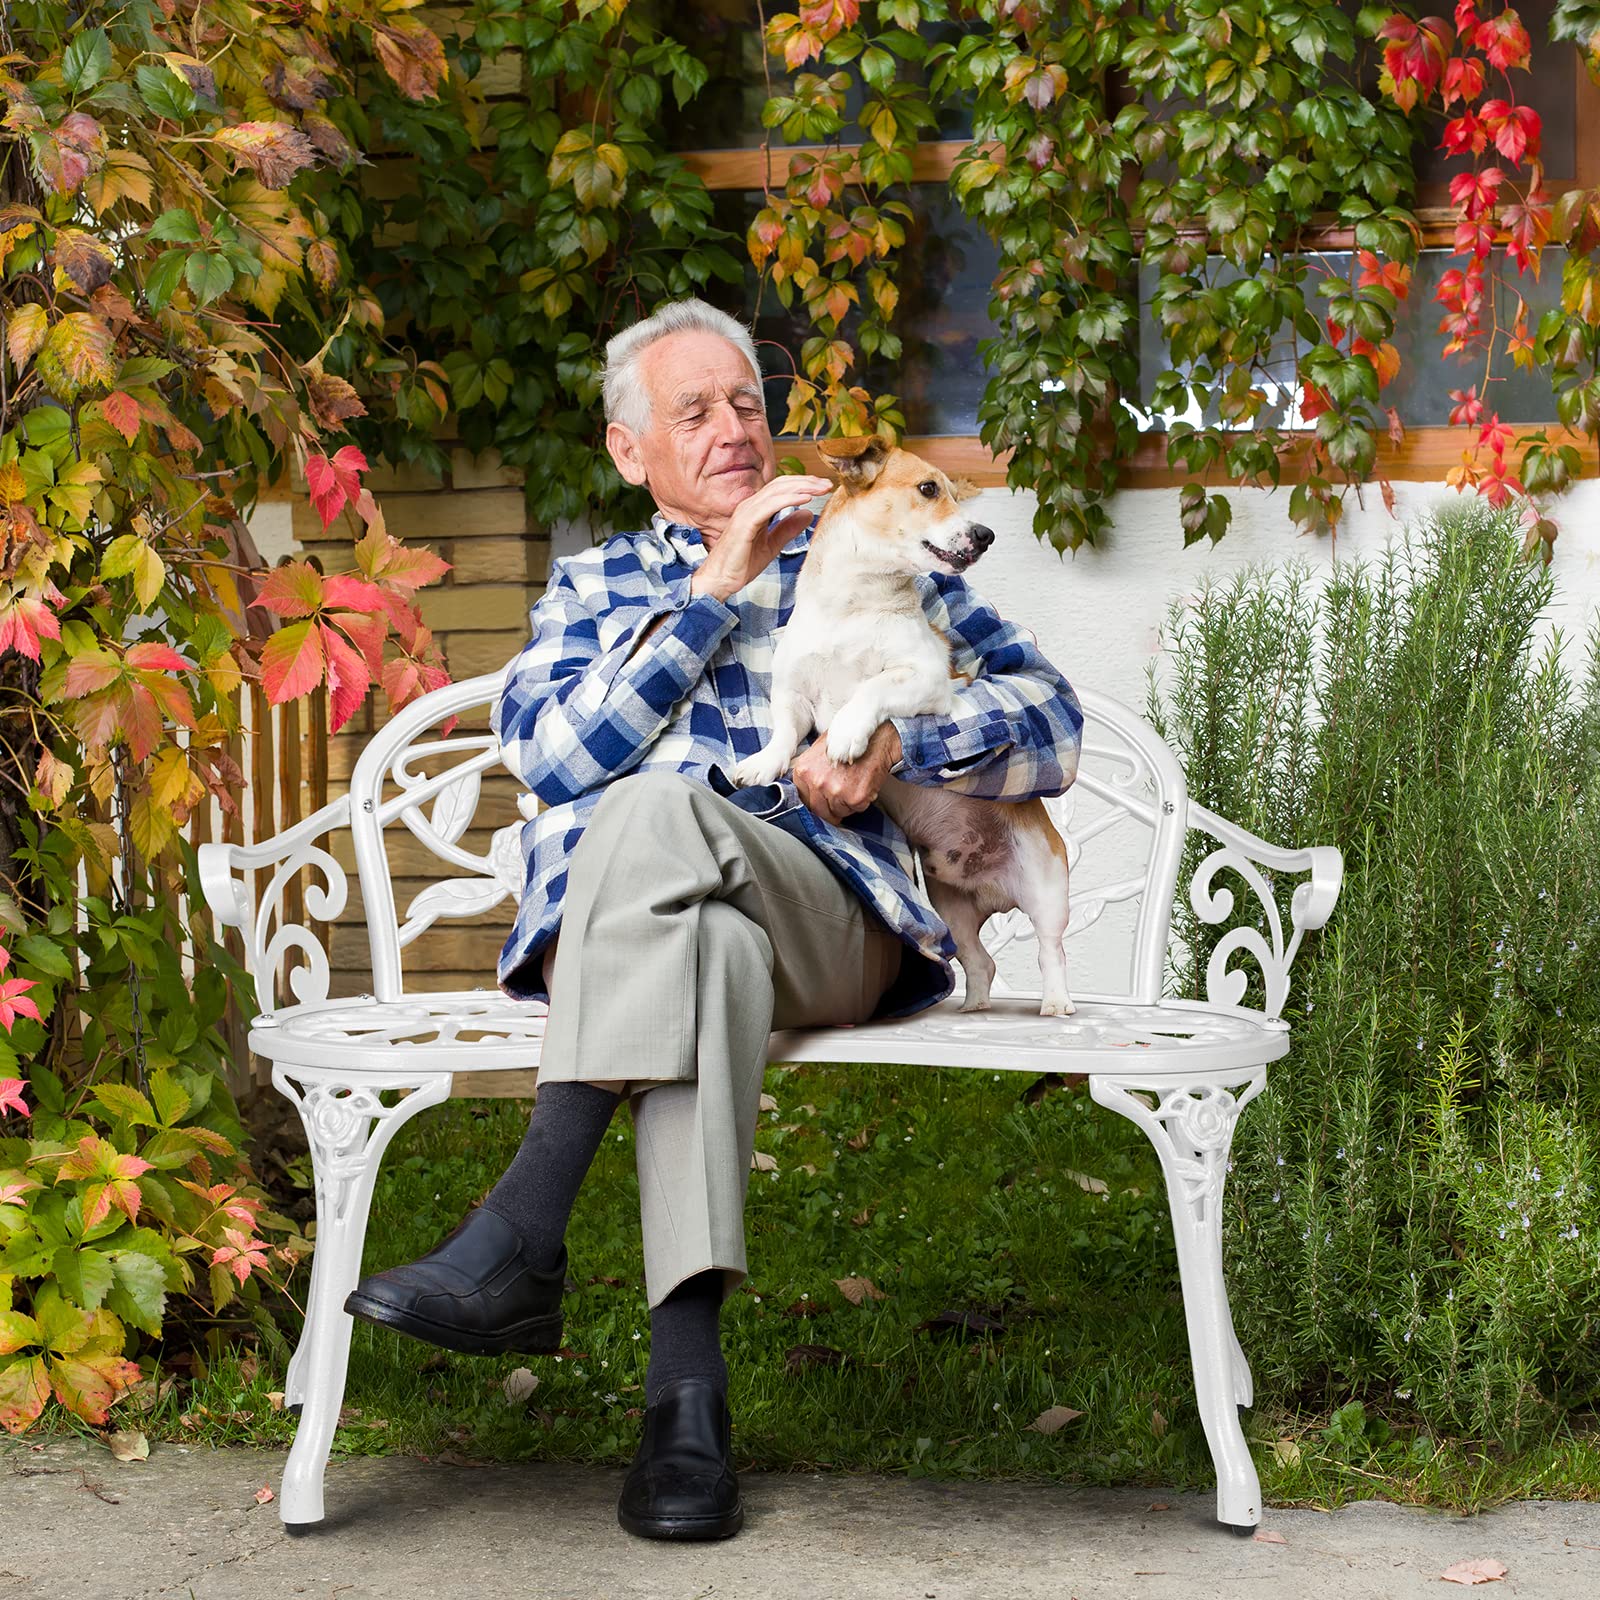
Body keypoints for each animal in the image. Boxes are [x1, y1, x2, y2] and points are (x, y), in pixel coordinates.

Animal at [736, 435, 1075, 1011]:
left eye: (950, 489)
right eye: (928, 488)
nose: (985, 535)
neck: (851, 609)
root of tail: (994, 891)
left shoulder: (928, 680)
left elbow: (871, 690)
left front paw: (848, 734)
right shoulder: (792, 696)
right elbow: (783, 732)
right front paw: (763, 765)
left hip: (1046, 889)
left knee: (1050, 952)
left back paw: (1056, 1001)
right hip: (952, 910)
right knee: (981, 962)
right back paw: (974, 1007)